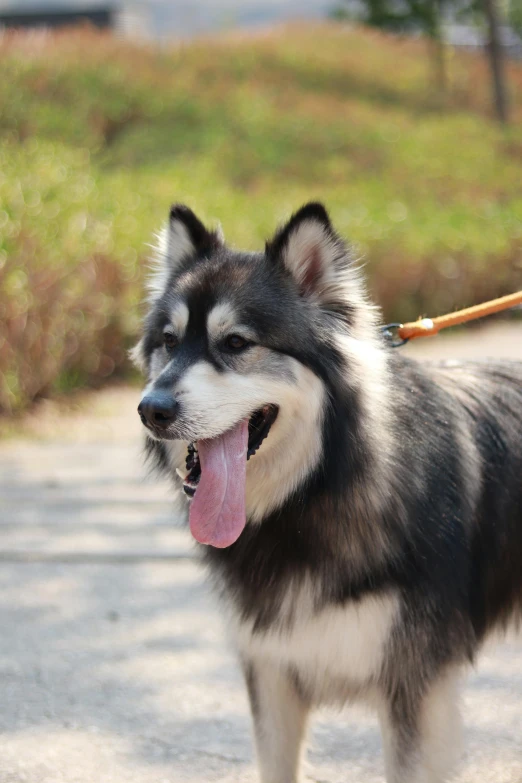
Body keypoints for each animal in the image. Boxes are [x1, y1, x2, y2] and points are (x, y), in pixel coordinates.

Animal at [133, 202, 520, 783]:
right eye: (170, 341)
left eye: (236, 343)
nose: (150, 410)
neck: (312, 494)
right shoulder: (271, 672)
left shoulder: (415, 689)